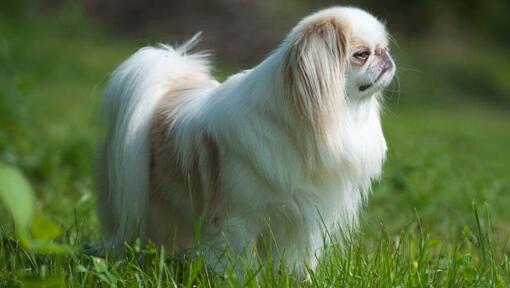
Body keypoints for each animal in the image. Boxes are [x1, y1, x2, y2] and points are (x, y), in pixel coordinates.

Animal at [96, 6, 398, 276]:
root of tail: (166, 91)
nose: (386, 57)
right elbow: (242, 265)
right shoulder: (237, 221)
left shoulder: (304, 220)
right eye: (362, 55)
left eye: (383, 48)